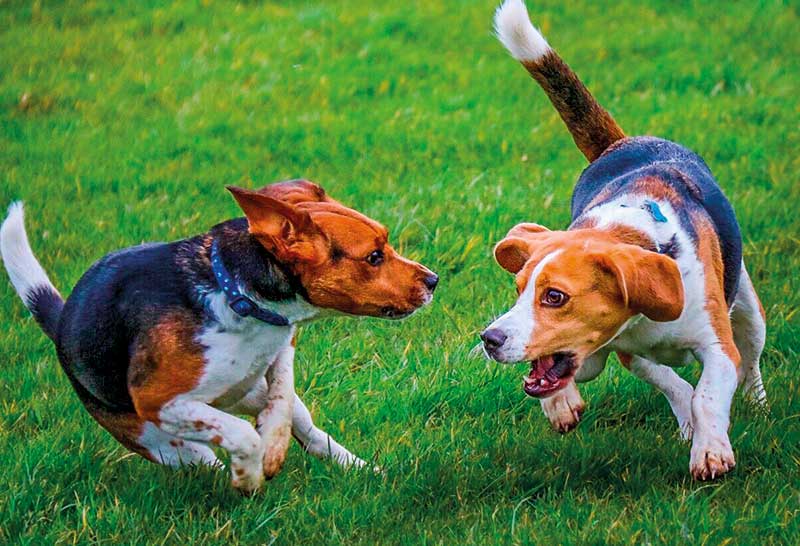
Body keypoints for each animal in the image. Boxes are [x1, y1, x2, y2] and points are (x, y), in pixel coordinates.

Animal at [1, 181, 438, 490]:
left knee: (308, 430)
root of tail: (62, 320)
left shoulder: (282, 346)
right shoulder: (158, 400)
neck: (237, 296)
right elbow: (242, 435)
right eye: (374, 257)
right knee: (205, 456)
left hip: (247, 394)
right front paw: (250, 471)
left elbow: (281, 396)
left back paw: (362, 470)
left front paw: (273, 445)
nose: (433, 280)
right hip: (160, 440)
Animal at [482, 0, 768, 476]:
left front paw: (710, 450)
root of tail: (623, 143)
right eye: (519, 288)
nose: (490, 339)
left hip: (747, 308)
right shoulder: (624, 351)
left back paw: (758, 404)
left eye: (555, 297)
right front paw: (561, 404)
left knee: (752, 357)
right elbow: (674, 385)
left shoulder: (718, 346)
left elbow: (708, 396)